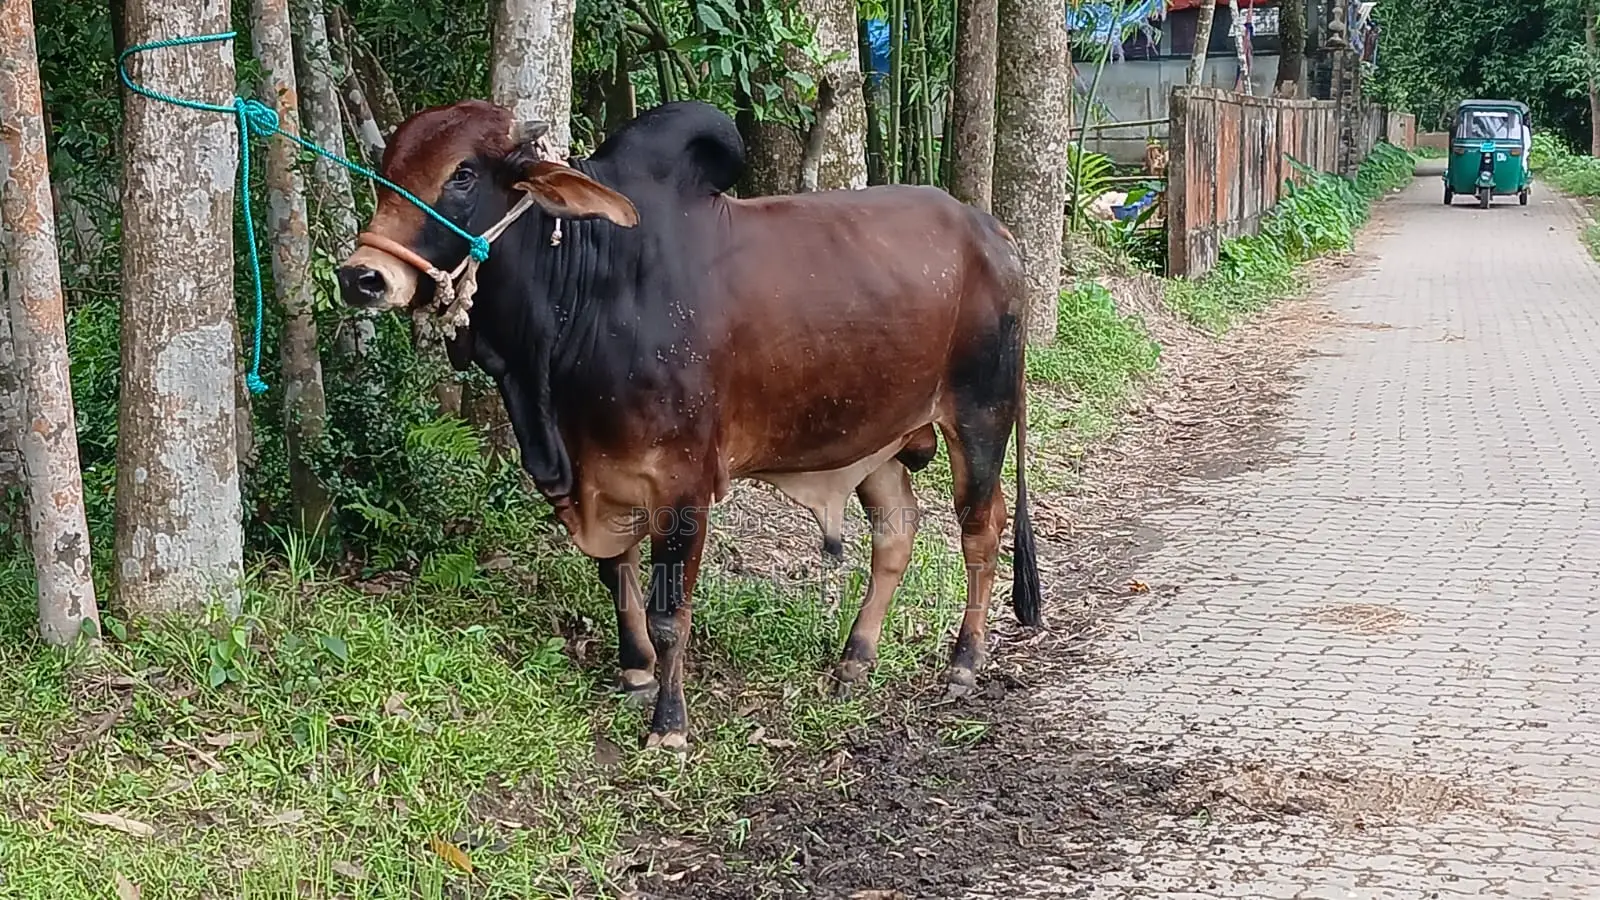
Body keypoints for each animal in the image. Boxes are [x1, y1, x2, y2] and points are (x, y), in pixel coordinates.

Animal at [336, 99, 1043, 750]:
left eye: (461, 175)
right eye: (385, 169)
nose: (362, 277)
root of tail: (991, 230)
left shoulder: (682, 483)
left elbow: (670, 610)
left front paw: (669, 725)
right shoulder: (603, 473)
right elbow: (615, 575)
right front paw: (635, 672)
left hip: (980, 416)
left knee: (981, 529)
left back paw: (964, 663)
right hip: (876, 440)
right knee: (896, 532)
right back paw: (854, 660)